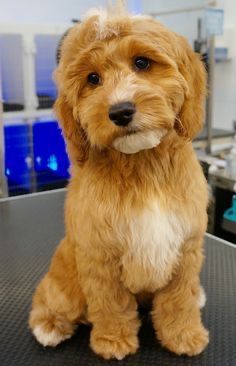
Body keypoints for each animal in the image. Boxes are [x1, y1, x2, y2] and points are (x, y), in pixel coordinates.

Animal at [29, 4, 208, 360]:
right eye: (92, 79)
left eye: (142, 63)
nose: (120, 111)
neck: (142, 163)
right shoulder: (101, 254)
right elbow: (110, 303)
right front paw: (113, 341)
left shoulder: (186, 246)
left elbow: (180, 298)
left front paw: (183, 334)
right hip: (65, 282)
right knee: (50, 299)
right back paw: (49, 325)